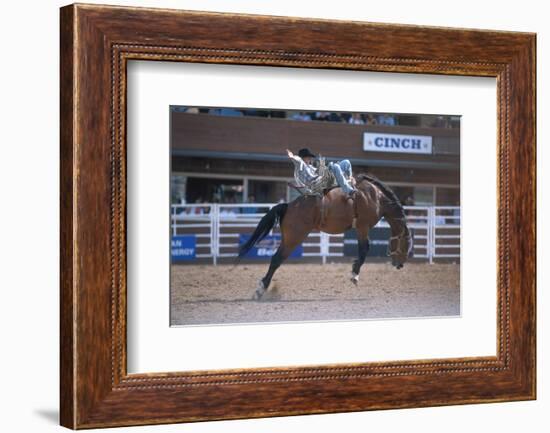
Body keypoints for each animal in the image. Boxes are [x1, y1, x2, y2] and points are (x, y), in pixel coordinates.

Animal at [239, 174, 412, 298]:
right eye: (406, 244)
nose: (401, 265)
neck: (375, 197)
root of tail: (289, 206)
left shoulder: (361, 228)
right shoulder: (363, 227)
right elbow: (364, 250)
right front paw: (354, 275)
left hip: (288, 239)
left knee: (276, 259)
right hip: (293, 239)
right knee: (276, 259)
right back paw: (260, 290)